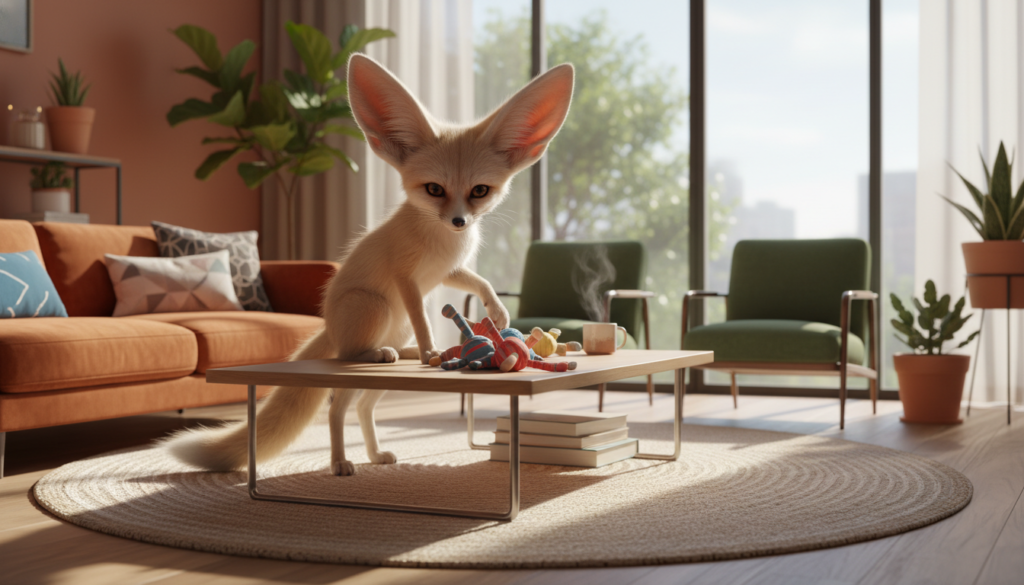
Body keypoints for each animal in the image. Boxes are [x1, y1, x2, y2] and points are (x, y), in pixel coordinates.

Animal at [162, 54, 575, 476]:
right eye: (434, 190)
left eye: (479, 191)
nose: (459, 221)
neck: (442, 240)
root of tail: (328, 326)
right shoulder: (407, 278)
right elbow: (425, 320)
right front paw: (431, 350)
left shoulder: (447, 271)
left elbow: (481, 282)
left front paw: (497, 311)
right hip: (375, 306)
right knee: (341, 388)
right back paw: (342, 455)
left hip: (390, 340)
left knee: (360, 405)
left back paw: (380, 437)